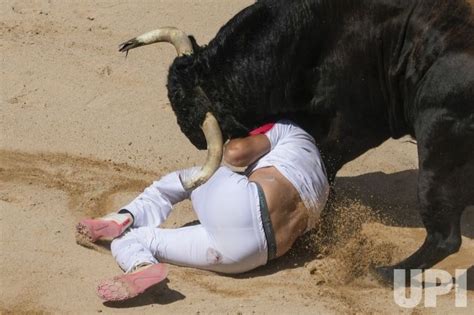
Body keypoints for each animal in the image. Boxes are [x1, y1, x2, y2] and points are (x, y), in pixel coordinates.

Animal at [119, 0, 474, 282]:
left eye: (188, 110)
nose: (190, 135)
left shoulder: (353, 127)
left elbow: (327, 161)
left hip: (437, 150)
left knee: (445, 237)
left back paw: (383, 272)